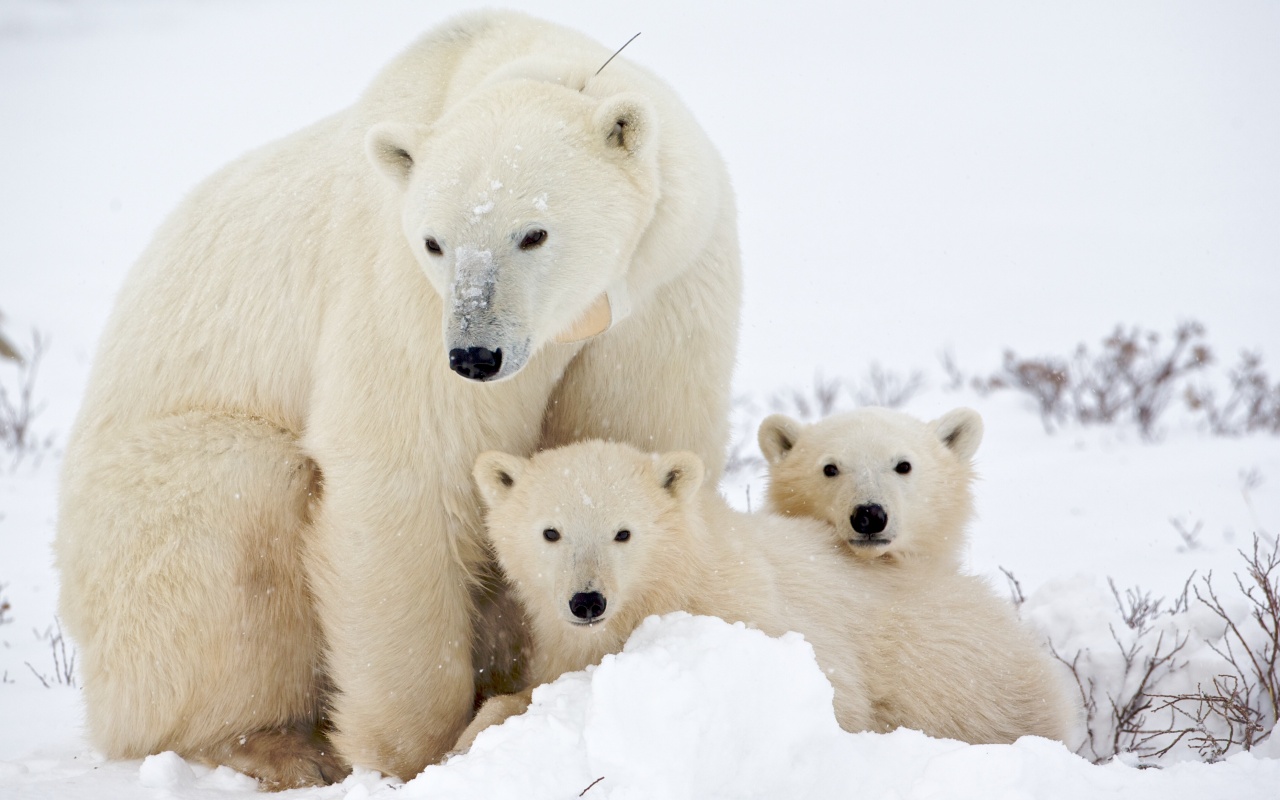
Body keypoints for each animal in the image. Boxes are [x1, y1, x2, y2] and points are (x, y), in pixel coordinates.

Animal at [52, 10, 742, 788]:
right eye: (436, 241)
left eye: (534, 232)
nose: (475, 355)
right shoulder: (401, 290)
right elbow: (407, 470)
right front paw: (417, 753)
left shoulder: (665, 287)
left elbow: (633, 438)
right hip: (138, 533)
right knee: (237, 509)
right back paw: (278, 745)